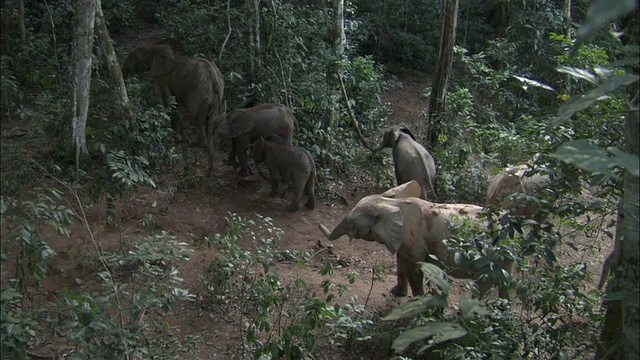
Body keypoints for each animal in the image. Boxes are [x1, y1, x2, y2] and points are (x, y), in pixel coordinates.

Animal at [320, 181, 516, 300]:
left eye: (353, 223)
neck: (391, 203)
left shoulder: (413, 239)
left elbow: (415, 269)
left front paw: (417, 304)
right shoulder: (403, 239)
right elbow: (401, 262)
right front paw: (397, 293)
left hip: (491, 256)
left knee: (484, 283)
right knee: (505, 280)